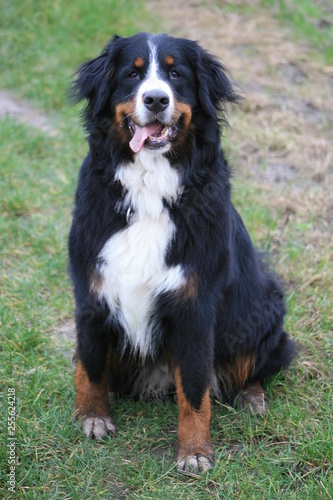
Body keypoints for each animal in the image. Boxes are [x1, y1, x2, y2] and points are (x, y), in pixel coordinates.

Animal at [68, 32, 296, 472]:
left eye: (176, 75)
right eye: (132, 73)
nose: (156, 99)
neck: (150, 188)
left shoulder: (194, 303)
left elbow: (194, 386)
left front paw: (194, 451)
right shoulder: (92, 286)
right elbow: (90, 363)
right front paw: (93, 417)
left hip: (263, 306)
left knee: (259, 363)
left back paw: (253, 396)